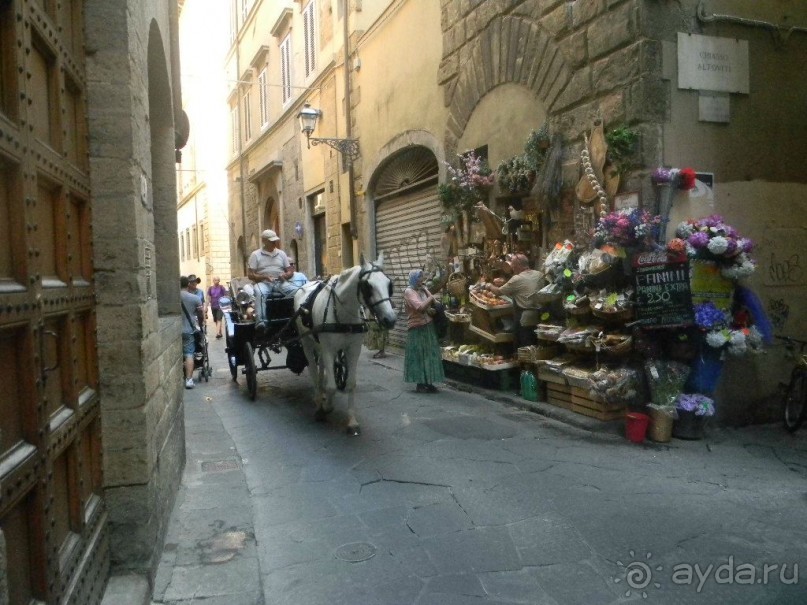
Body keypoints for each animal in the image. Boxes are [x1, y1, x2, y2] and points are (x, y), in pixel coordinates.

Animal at [296, 251, 400, 434]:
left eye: (389, 284)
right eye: (367, 285)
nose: (390, 319)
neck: (342, 312)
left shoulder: (353, 349)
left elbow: (351, 384)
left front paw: (351, 421)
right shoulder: (329, 349)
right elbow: (332, 386)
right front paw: (326, 408)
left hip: (319, 345)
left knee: (321, 368)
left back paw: (322, 393)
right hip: (307, 342)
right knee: (314, 371)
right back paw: (318, 400)